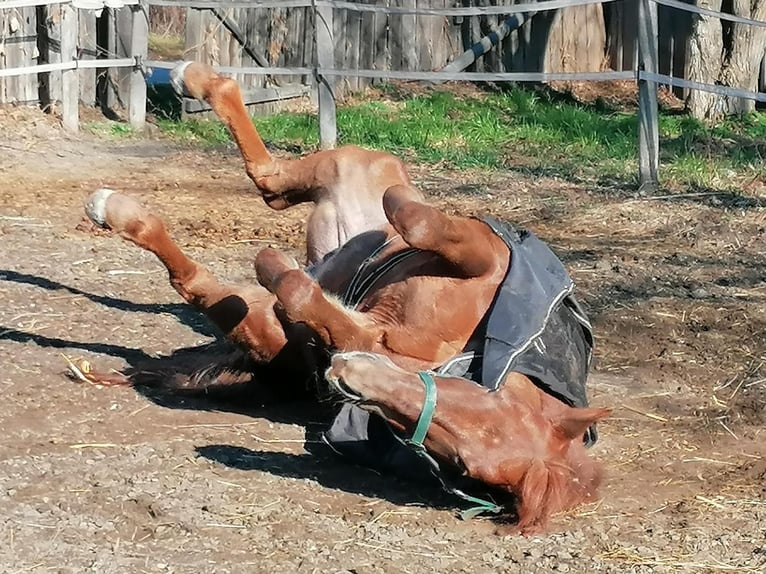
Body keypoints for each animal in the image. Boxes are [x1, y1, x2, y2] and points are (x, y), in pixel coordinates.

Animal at [78, 63, 612, 536]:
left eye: (458, 461)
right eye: (487, 395)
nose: (351, 378)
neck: (454, 348)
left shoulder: (297, 331)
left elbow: (275, 295)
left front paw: (281, 274)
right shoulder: (490, 253)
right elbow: (421, 221)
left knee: (262, 194)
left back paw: (119, 206)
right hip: (347, 167)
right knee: (288, 179)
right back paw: (190, 78)